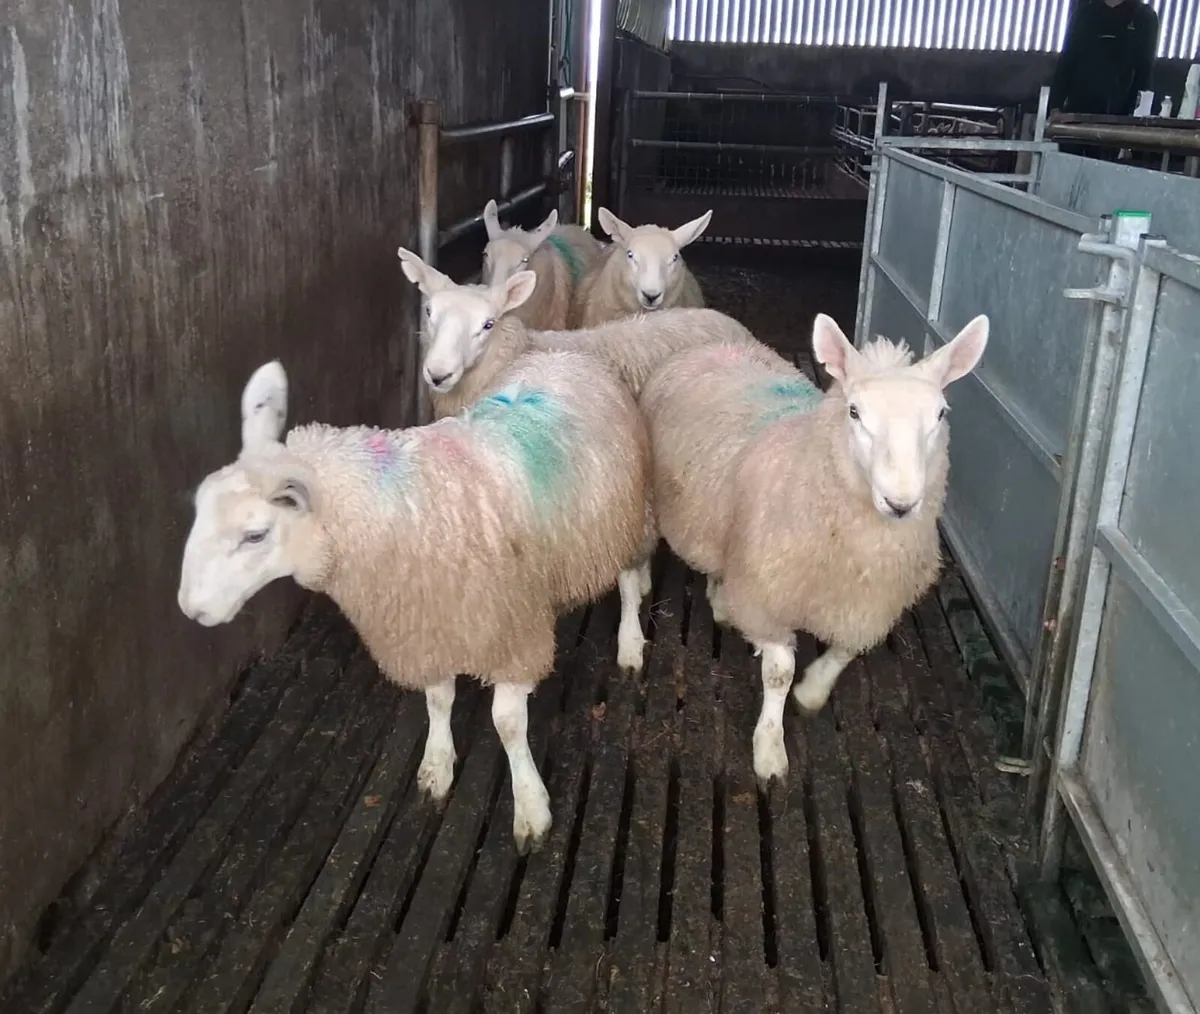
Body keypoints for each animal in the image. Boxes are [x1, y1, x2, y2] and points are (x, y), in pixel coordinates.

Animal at [177, 350, 652, 854]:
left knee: (626, 582)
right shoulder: (426, 624)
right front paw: (437, 764)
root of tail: (566, 354)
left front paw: (530, 806)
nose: (191, 608)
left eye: (255, 535)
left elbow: (506, 723)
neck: (400, 512)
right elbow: (438, 700)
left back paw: (630, 642)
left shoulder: (510, 631)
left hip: (625, 519)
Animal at [640, 312, 989, 788]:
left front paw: (812, 692)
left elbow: (845, 651)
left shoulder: (867, 603)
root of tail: (711, 347)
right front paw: (770, 749)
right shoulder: (766, 595)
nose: (901, 503)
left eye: (940, 414)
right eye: (855, 412)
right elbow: (777, 673)